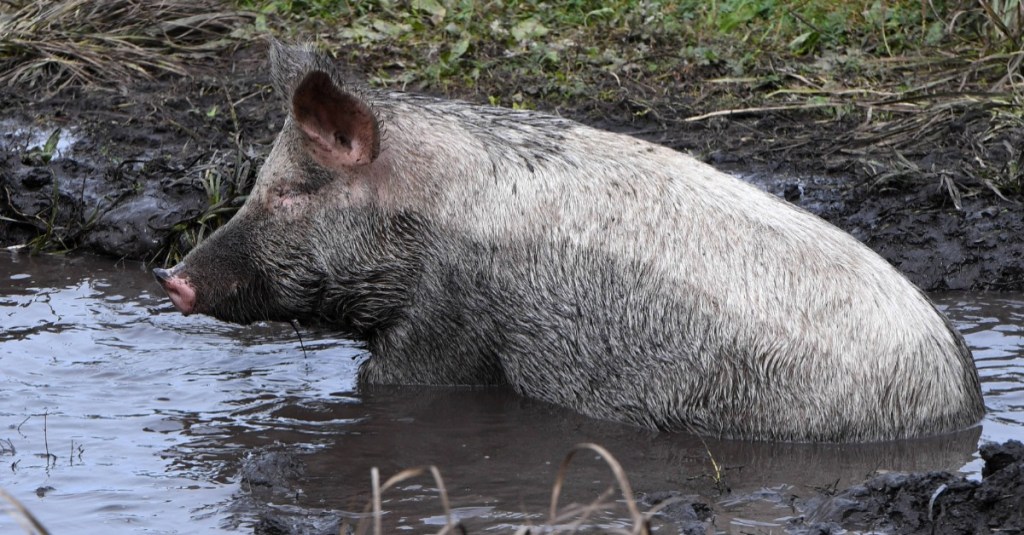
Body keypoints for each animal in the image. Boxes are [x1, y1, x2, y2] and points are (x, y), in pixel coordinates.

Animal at [155, 43, 987, 438]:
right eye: (264, 182)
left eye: (293, 191)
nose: (173, 278)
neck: (432, 208)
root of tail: (959, 401)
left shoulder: (444, 328)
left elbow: (390, 383)